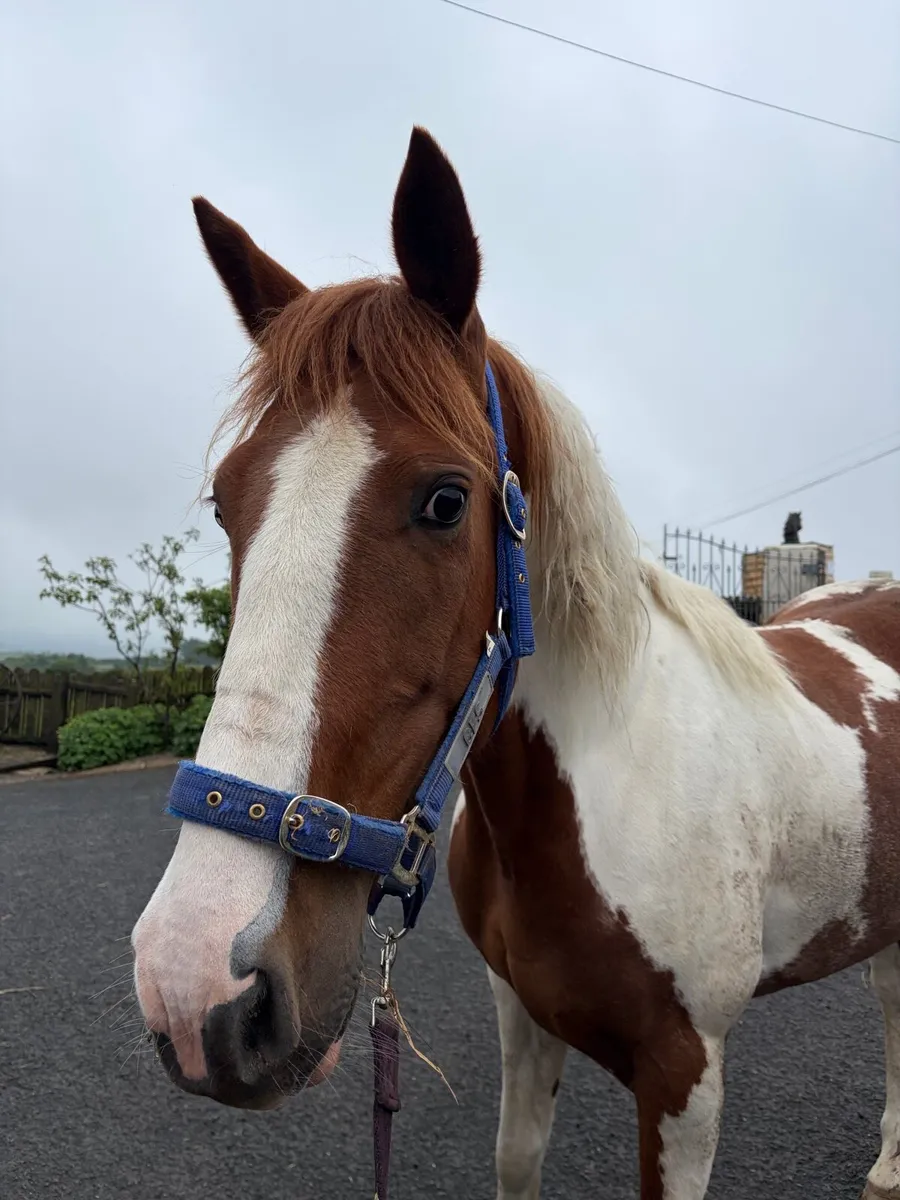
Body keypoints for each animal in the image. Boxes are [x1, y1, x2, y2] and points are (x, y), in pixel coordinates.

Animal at [131, 127, 900, 1199]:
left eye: (447, 501)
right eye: (223, 501)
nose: (195, 983)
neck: (605, 791)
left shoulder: (688, 1079)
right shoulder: (522, 1018)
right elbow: (516, 1156)